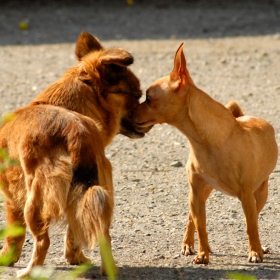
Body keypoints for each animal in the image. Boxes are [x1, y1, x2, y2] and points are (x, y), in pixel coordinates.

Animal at [0, 31, 151, 276]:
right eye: (137, 95)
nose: (149, 107)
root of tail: (75, 131)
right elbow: (74, 230)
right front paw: (75, 258)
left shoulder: (13, 197)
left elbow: (14, 234)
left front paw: (5, 258)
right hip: (97, 190)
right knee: (101, 233)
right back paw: (108, 270)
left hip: (35, 200)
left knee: (42, 241)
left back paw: (29, 273)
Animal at [133, 43, 278, 264]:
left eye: (148, 99)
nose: (128, 113)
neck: (207, 143)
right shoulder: (196, 192)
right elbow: (201, 227)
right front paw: (202, 254)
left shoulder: (247, 196)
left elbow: (250, 226)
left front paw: (255, 252)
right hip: (201, 195)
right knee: (191, 218)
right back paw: (189, 245)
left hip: (259, 195)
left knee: (252, 219)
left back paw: (258, 247)